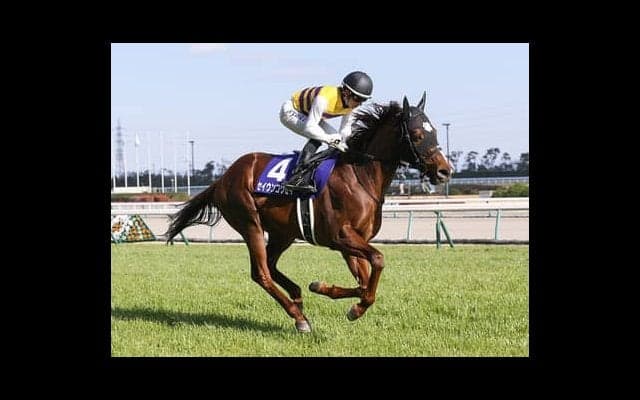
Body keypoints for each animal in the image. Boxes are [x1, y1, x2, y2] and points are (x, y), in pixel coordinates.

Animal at [166, 92, 453, 333]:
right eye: (417, 134)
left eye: (435, 132)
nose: (444, 171)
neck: (359, 174)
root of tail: (223, 178)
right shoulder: (341, 236)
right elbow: (378, 261)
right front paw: (355, 307)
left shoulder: (352, 241)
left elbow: (364, 282)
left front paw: (326, 289)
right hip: (250, 223)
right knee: (261, 272)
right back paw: (298, 317)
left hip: (283, 232)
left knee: (271, 265)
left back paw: (297, 297)